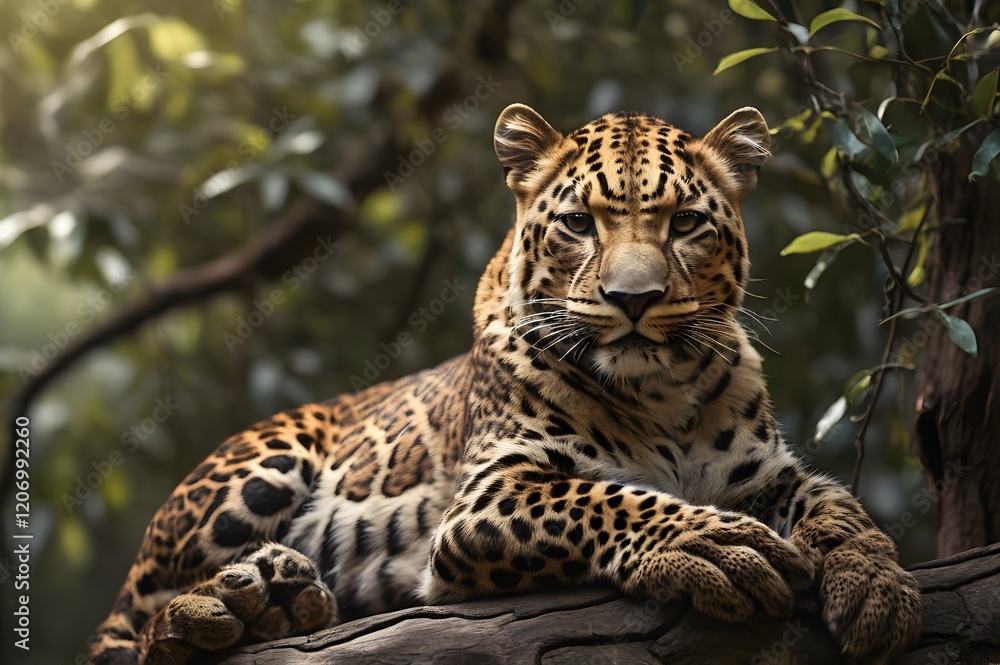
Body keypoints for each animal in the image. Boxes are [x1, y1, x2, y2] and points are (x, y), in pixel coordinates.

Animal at [91, 103, 922, 664]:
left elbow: (837, 504)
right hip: (259, 470)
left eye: (686, 222)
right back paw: (221, 608)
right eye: (580, 224)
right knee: (132, 626)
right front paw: (714, 543)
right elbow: (611, 497)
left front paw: (877, 583)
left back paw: (283, 593)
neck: (663, 396)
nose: (634, 298)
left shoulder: (765, 473)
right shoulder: (492, 492)